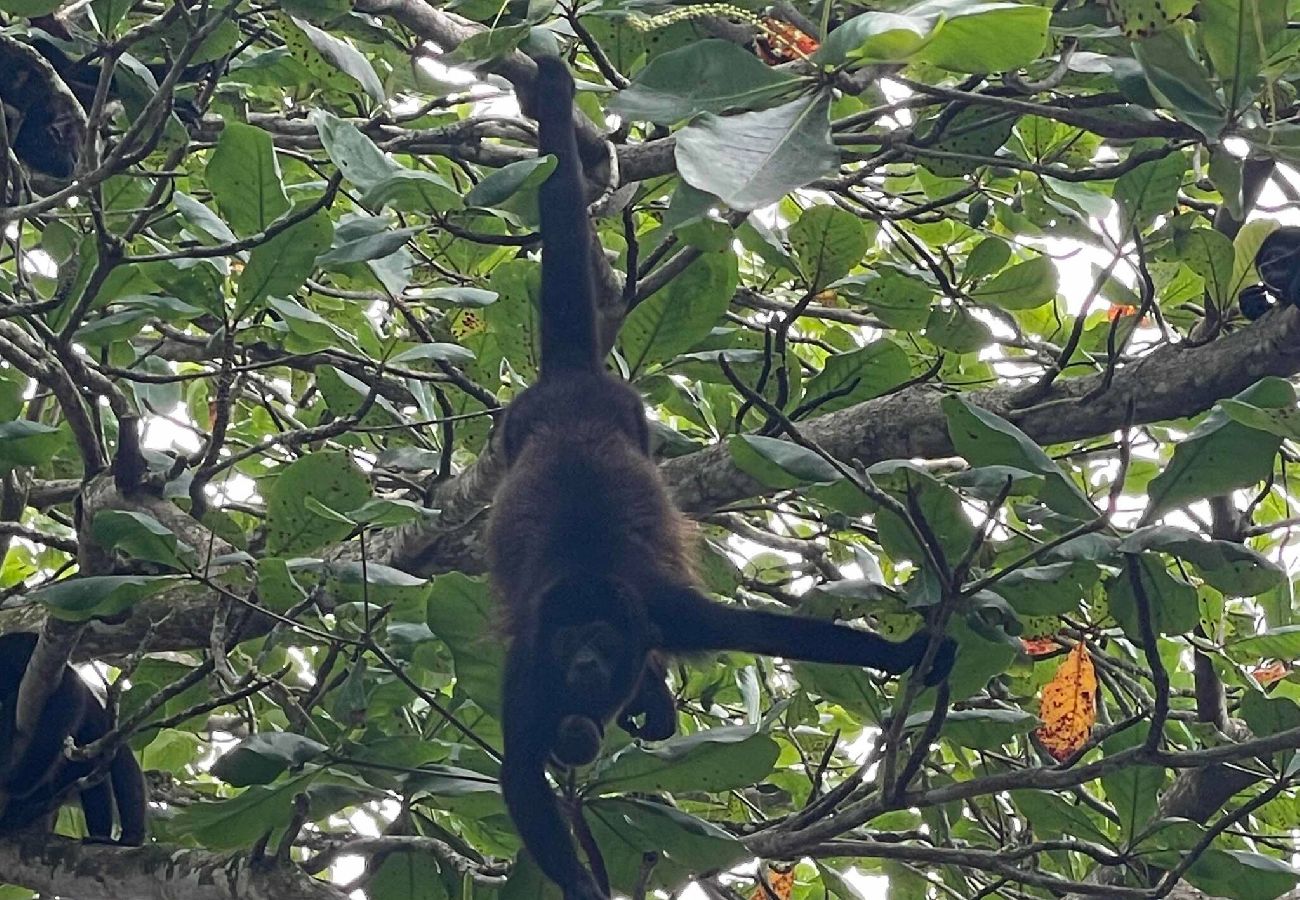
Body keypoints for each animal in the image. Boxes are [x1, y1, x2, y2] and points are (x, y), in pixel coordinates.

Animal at [487, 56, 956, 900]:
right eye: (570, 637)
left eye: (599, 636)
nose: (585, 662)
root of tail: (570, 382)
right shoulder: (531, 660)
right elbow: (518, 777)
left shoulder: (663, 612)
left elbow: (773, 632)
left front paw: (910, 657)